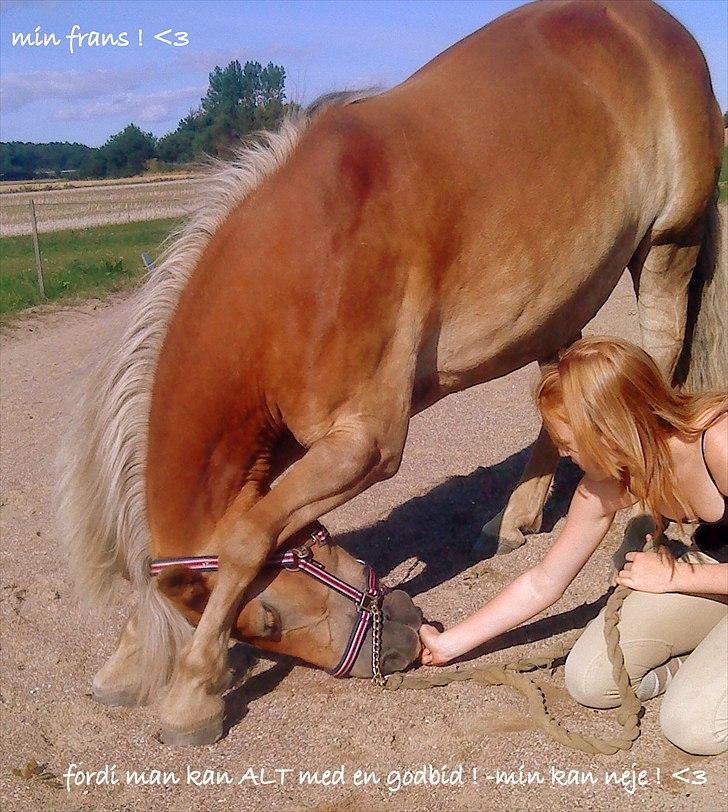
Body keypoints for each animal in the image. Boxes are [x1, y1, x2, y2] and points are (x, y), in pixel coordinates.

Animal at [55, 0, 724, 748]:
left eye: (266, 621)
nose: (402, 638)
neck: (297, 270)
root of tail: (661, 29)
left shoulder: (365, 444)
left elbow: (246, 541)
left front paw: (190, 695)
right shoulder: (287, 447)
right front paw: (134, 657)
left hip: (668, 242)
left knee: (659, 350)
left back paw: (632, 513)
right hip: (562, 293)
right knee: (556, 386)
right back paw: (513, 519)